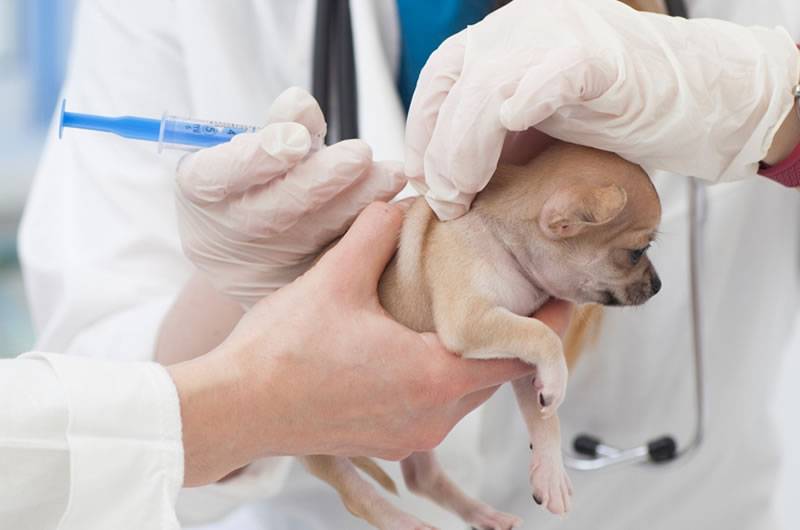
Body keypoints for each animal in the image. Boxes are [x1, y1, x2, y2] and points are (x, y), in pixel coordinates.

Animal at [300, 141, 664, 528]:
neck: (504, 242)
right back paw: (405, 522)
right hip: (321, 451)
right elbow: (543, 337)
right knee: (359, 498)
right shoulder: (472, 321)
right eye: (637, 253)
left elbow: (543, 418)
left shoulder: (523, 366)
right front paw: (557, 384)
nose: (659, 285)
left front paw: (550, 472)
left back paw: (484, 514)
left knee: (422, 478)